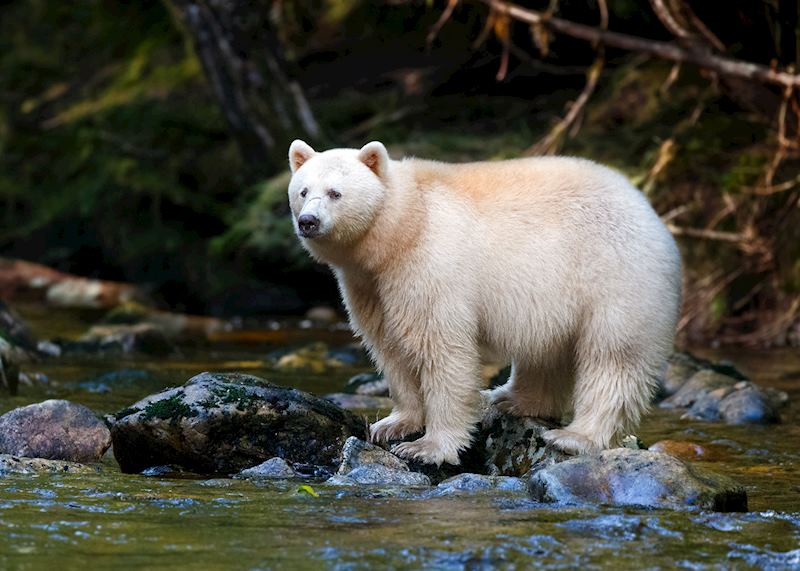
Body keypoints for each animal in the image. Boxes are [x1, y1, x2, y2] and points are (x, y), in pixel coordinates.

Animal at [287, 140, 682, 466]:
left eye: (335, 193)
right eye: (302, 191)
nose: (308, 221)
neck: (402, 225)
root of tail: (648, 209)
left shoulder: (428, 266)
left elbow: (440, 348)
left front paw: (428, 447)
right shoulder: (370, 286)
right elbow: (390, 347)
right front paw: (392, 424)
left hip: (614, 275)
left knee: (613, 356)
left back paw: (574, 436)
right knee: (546, 352)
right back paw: (509, 399)